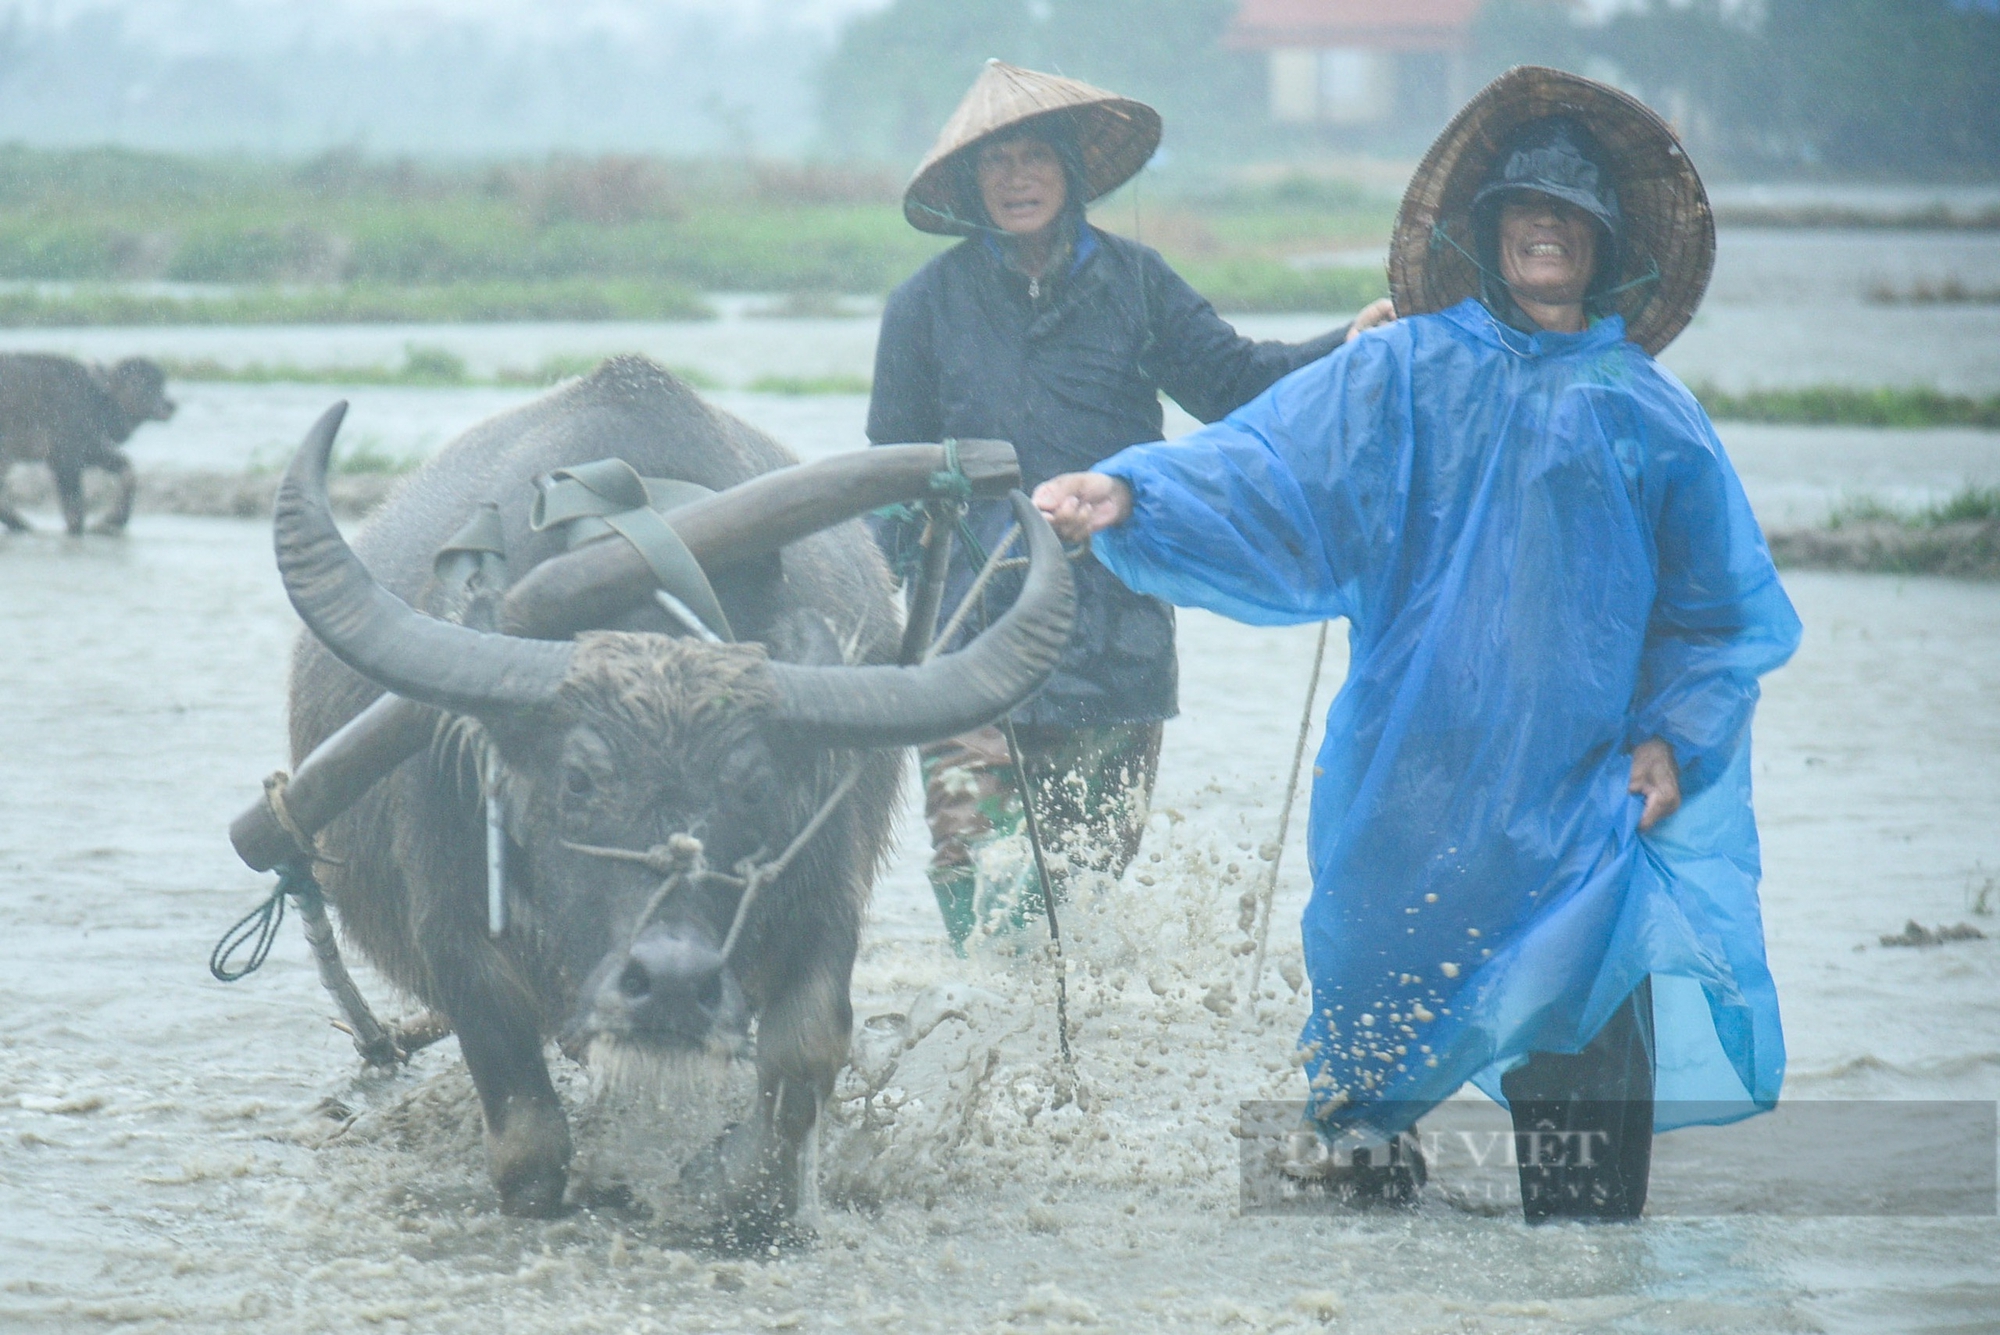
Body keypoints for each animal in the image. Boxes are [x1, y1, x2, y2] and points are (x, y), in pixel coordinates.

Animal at [0, 359, 177, 543]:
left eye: (161, 382)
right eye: (135, 381)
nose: (169, 405)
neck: (94, 397)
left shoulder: (88, 450)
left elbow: (127, 471)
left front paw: (112, 521)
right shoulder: (66, 460)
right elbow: (74, 509)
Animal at [274, 357, 1072, 1223]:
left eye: (754, 789)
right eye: (578, 778)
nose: (673, 982)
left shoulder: (825, 884)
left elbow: (807, 1045)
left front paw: (730, 1179)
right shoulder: (451, 928)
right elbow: (527, 1130)